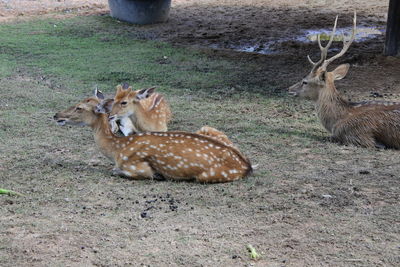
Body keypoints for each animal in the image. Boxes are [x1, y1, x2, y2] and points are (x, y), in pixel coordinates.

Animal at [54, 91, 252, 183]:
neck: (117, 150)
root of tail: (247, 166)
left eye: (79, 107)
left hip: (207, 175)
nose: (56, 115)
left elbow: (115, 170)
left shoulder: (137, 166)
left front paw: (158, 175)